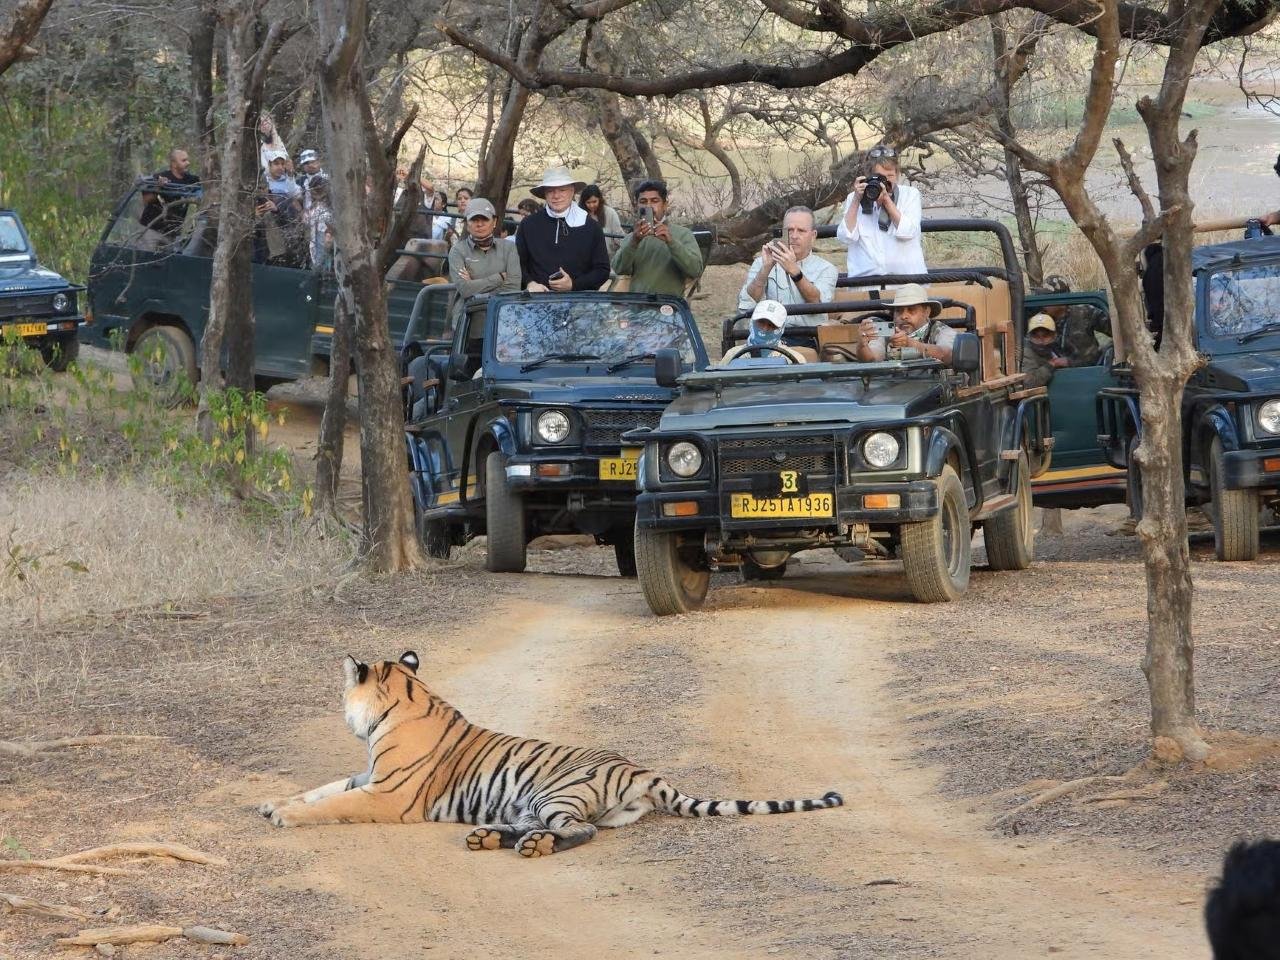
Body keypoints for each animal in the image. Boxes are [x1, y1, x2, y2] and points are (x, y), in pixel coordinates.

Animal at [259, 651, 843, 857]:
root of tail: (647, 772)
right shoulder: (367, 778)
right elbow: (323, 789)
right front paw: (271, 803)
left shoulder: (387, 796)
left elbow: (332, 804)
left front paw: (286, 817)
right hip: (533, 802)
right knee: (544, 827)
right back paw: (489, 837)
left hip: (554, 792)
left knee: (576, 832)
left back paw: (527, 847)